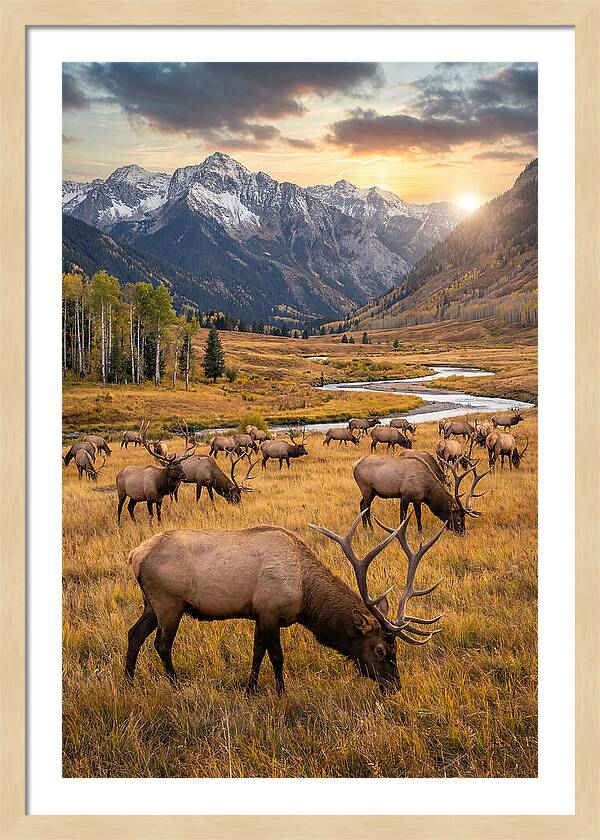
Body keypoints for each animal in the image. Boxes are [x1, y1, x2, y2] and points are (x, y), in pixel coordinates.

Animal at [124, 510, 446, 695]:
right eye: (380, 650)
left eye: (396, 650)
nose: (394, 686)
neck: (305, 595)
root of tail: (134, 556)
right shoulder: (270, 610)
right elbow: (276, 656)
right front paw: (281, 692)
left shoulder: (258, 613)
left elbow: (257, 653)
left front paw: (250, 689)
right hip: (169, 603)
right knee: (162, 644)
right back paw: (175, 684)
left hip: (150, 605)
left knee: (134, 634)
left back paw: (129, 682)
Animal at [353, 454, 490, 538]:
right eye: (458, 519)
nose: (463, 533)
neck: (427, 490)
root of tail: (354, 466)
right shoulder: (405, 495)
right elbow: (402, 517)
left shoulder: (417, 499)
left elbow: (418, 516)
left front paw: (420, 533)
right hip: (367, 489)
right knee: (366, 507)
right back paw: (370, 529)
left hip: (371, 492)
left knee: (361, 505)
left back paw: (366, 529)